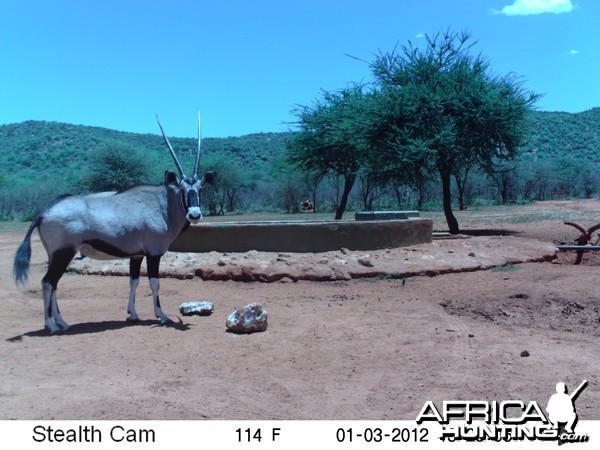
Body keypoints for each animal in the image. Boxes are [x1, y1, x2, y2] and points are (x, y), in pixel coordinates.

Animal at [14, 115, 217, 334]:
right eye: (182, 189)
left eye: (199, 189)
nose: (194, 214)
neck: (163, 206)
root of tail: (43, 212)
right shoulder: (153, 254)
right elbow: (154, 283)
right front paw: (161, 316)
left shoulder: (136, 255)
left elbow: (133, 281)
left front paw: (133, 314)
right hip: (64, 253)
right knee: (48, 282)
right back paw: (51, 325)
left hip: (56, 255)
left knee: (54, 283)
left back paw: (62, 322)